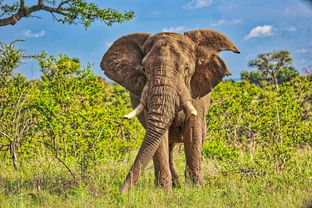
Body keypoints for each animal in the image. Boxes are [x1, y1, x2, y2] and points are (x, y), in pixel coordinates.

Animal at [100, 28, 239, 193]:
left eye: (186, 68)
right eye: (144, 69)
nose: (121, 192)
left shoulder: (196, 94)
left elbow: (193, 133)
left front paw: (196, 189)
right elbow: (159, 140)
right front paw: (164, 192)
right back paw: (175, 184)